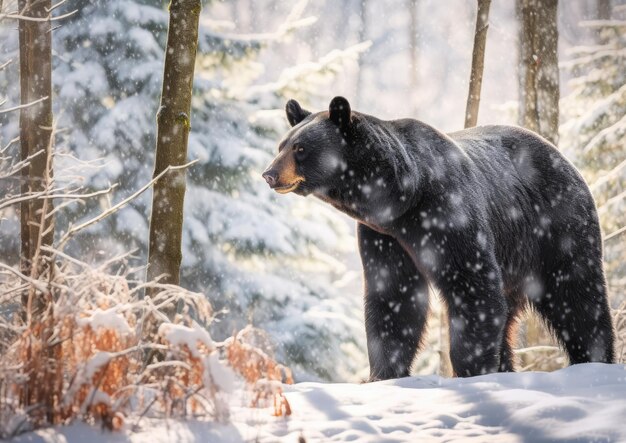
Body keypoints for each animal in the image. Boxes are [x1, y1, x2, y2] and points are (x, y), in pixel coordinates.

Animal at [260, 99, 612, 380]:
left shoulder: (449, 212)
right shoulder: (383, 237)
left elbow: (472, 286)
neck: (401, 196)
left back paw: (595, 361)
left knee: (577, 296)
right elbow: (393, 297)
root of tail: (564, 159)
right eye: (281, 145)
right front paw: (383, 374)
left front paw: (470, 370)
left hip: (557, 227)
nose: (269, 174)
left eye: (300, 148)